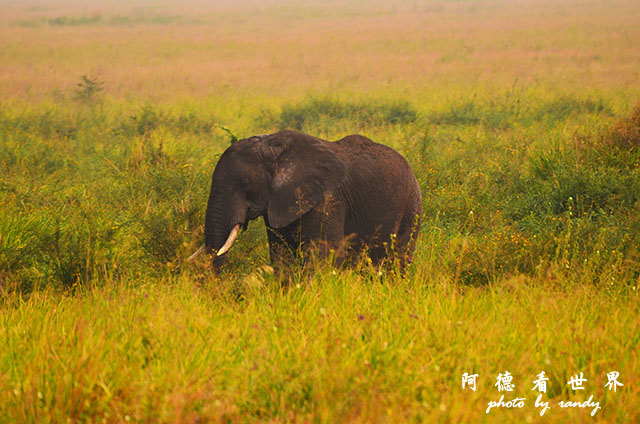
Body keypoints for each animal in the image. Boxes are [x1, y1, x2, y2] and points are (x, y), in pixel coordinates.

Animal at [188, 129, 422, 272]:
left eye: (245, 183)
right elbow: (281, 254)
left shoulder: (329, 199)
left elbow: (325, 252)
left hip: (412, 207)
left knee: (398, 258)